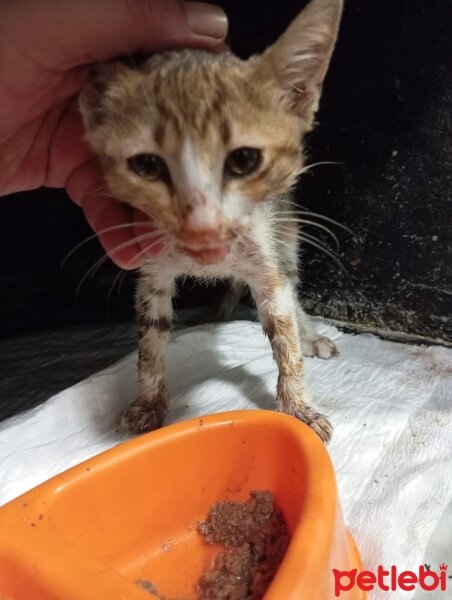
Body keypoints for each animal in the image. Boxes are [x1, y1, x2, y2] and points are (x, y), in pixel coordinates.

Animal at [80, 0, 342, 442]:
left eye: (245, 160)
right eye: (147, 165)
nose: (202, 227)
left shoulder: (267, 264)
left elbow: (284, 333)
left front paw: (299, 410)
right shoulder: (153, 272)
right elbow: (149, 339)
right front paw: (149, 403)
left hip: (285, 232)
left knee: (292, 288)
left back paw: (311, 336)